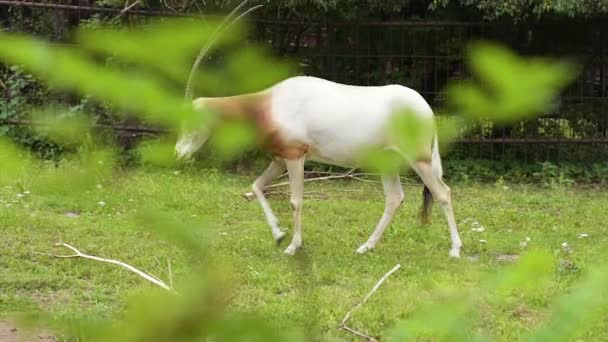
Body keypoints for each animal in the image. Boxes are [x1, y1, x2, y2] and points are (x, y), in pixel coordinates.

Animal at [173, 2, 464, 256]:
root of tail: (425, 109)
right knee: (395, 198)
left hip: (419, 158)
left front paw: (292, 247)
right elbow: (256, 186)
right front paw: (279, 235)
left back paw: (455, 250)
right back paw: (365, 247)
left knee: (442, 192)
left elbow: (295, 200)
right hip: (388, 160)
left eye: (191, 121)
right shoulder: (280, 158)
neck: (271, 104)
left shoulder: (295, 156)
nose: (178, 153)